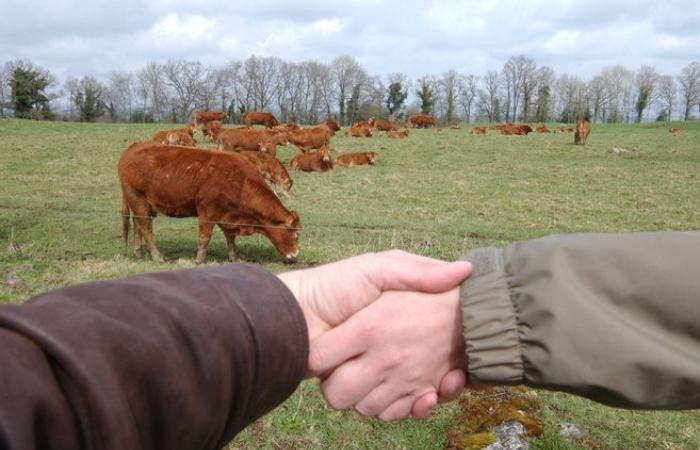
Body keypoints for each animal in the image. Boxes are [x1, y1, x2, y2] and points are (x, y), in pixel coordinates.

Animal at [118, 143, 304, 264]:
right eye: (294, 233)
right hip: (137, 198)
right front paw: (199, 260)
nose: (295, 254)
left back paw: (139, 254)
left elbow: (230, 236)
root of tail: (134, 147)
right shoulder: (207, 211)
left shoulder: (225, 214)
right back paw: (157, 257)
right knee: (146, 227)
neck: (239, 181)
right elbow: (204, 237)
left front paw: (234, 257)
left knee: (138, 225)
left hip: (140, 203)